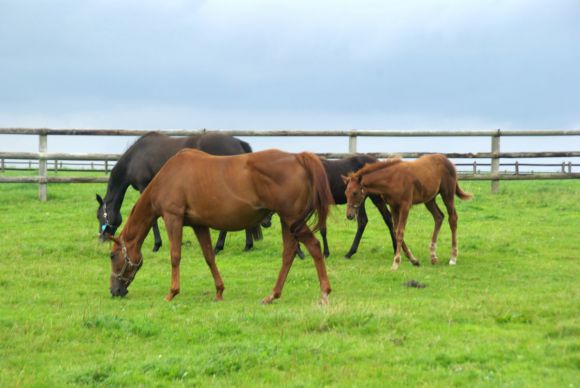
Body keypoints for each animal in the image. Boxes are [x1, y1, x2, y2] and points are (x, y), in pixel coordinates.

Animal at [96, 132, 262, 253]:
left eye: (99, 216)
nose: (102, 239)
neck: (135, 157)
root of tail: (239, 143)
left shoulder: (145, 187)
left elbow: (152, 219)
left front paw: (156, 245)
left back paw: (220, 246)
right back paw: (246, 245)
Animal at [106, 148, 334, 304]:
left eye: (112, 256)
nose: (115, 291)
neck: (169, 176)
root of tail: (297, 158)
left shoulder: (173, 218)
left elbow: (175, 256)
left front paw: (172, 292)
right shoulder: (199, 225)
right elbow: (209, 256)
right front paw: (219, 291)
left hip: (293, 220)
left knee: (314, 247)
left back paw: (324, 293)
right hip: (287, 222)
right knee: (288, 254)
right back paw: (272, 295)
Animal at [344, 154, 472, 270]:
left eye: (355, 192)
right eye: (346, 192)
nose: (349, 215)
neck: (392, 179)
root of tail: (447, 160)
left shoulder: (405, 206)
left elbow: (400, 232)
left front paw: (396, 263)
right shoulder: (393, 206)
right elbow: (395, 230)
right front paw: (414, 260)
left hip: (447, 194)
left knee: (453, 218)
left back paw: (453, 257)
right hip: (429, 199)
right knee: (439, 217)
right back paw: (433, 256)